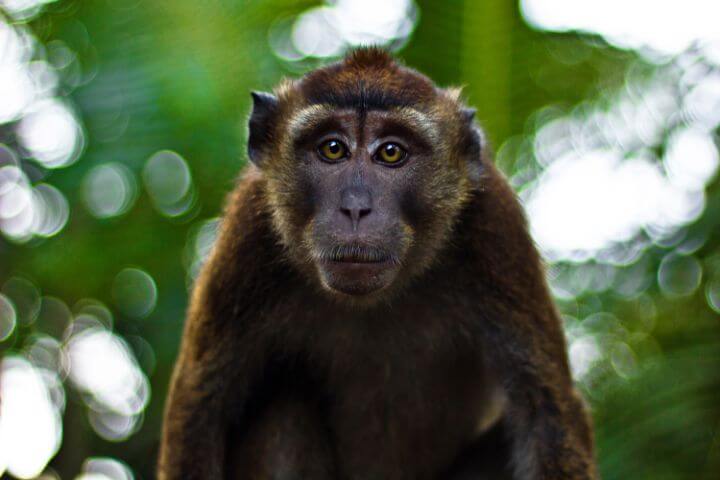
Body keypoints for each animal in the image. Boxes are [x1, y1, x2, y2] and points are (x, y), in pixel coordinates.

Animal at [160, 46, 600, 480]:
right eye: (332, 148)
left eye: (391, 152)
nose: (356, 207)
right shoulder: (247, 234)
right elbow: (201, 409)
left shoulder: (495, 225)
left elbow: (543, 414)